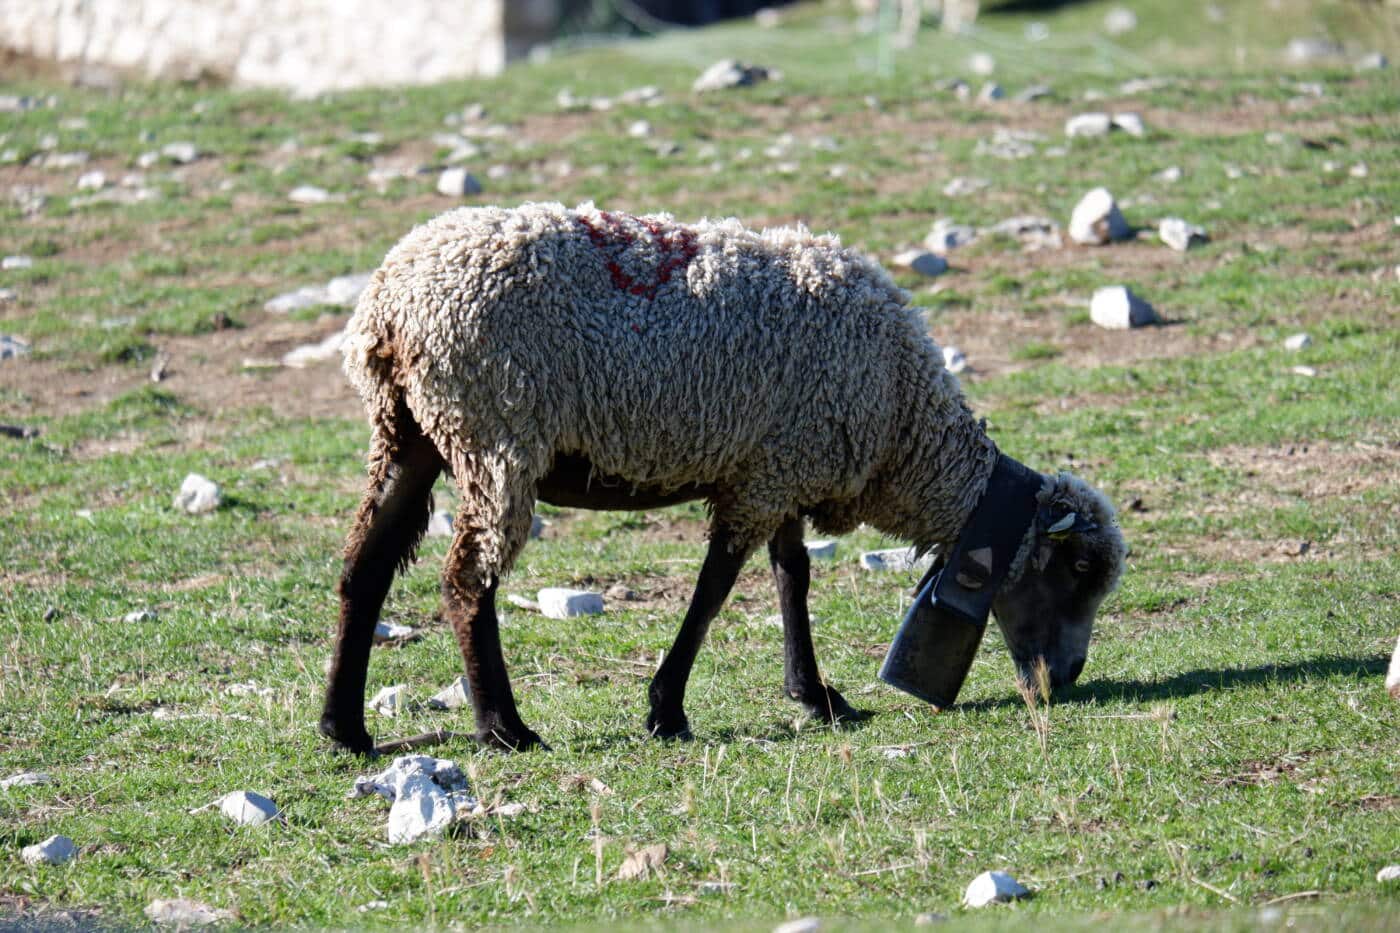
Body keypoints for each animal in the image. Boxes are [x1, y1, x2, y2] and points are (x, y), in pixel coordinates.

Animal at [320, 200, 1125, 750]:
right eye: (1077, 570)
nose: (1070, 676)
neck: (904, 427)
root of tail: (390, 302)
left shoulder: (786, 464)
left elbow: (792, 577)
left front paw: (817, 696)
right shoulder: (764, 478)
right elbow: (715, 591)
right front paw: (667, 709)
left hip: (410, 433)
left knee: (364, 566)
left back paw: (344, 729)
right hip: (495, 432)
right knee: (466, 580)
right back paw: (503, 726)